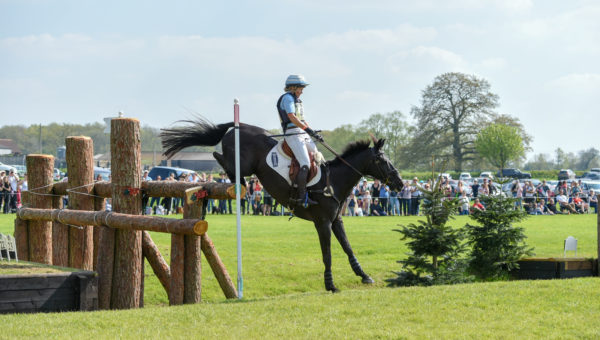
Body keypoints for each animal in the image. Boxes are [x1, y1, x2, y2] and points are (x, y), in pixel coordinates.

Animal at [161, 117, 404, 292]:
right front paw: (330, 284)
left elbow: (348, 247)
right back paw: (237, 182)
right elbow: (327, 253)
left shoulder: (336, 220)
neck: (333, 181)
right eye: (383, 161)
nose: (400, 183)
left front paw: (364, 275)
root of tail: (239, 126)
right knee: (218, 157)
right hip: (244, 165)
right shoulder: (323, 223)